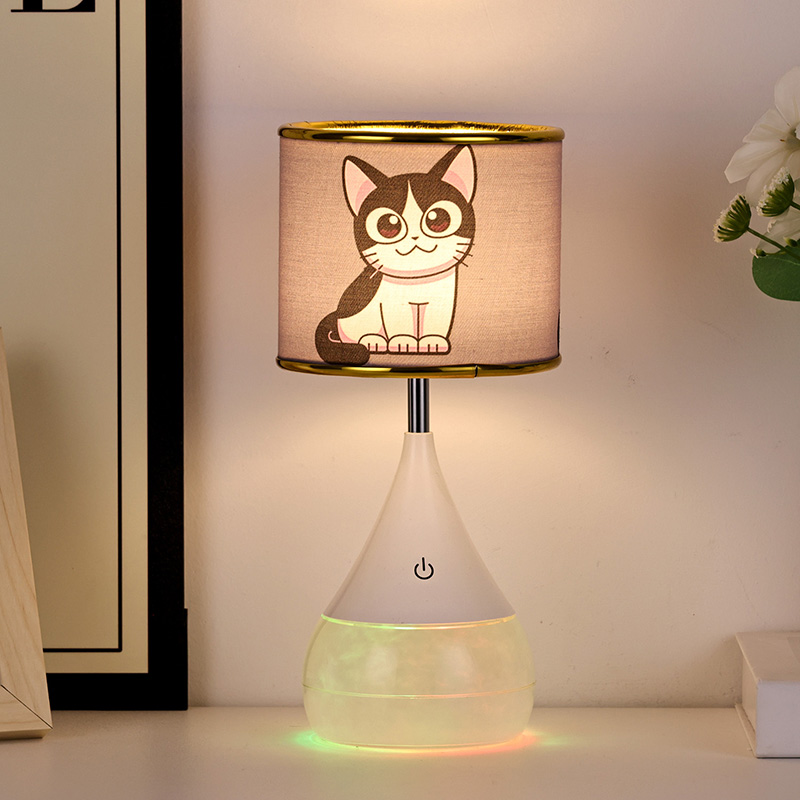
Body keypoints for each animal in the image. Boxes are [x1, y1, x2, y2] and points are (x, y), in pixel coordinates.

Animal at [315, 144, 477, 366]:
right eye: (388, 224)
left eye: (437, 218)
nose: (415, 236)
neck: (418, 279)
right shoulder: (392, 304)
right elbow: (400, 326)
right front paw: (403, 342)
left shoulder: (443, 300)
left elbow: (437, 325)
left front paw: (432, 342)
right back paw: (374, 342)